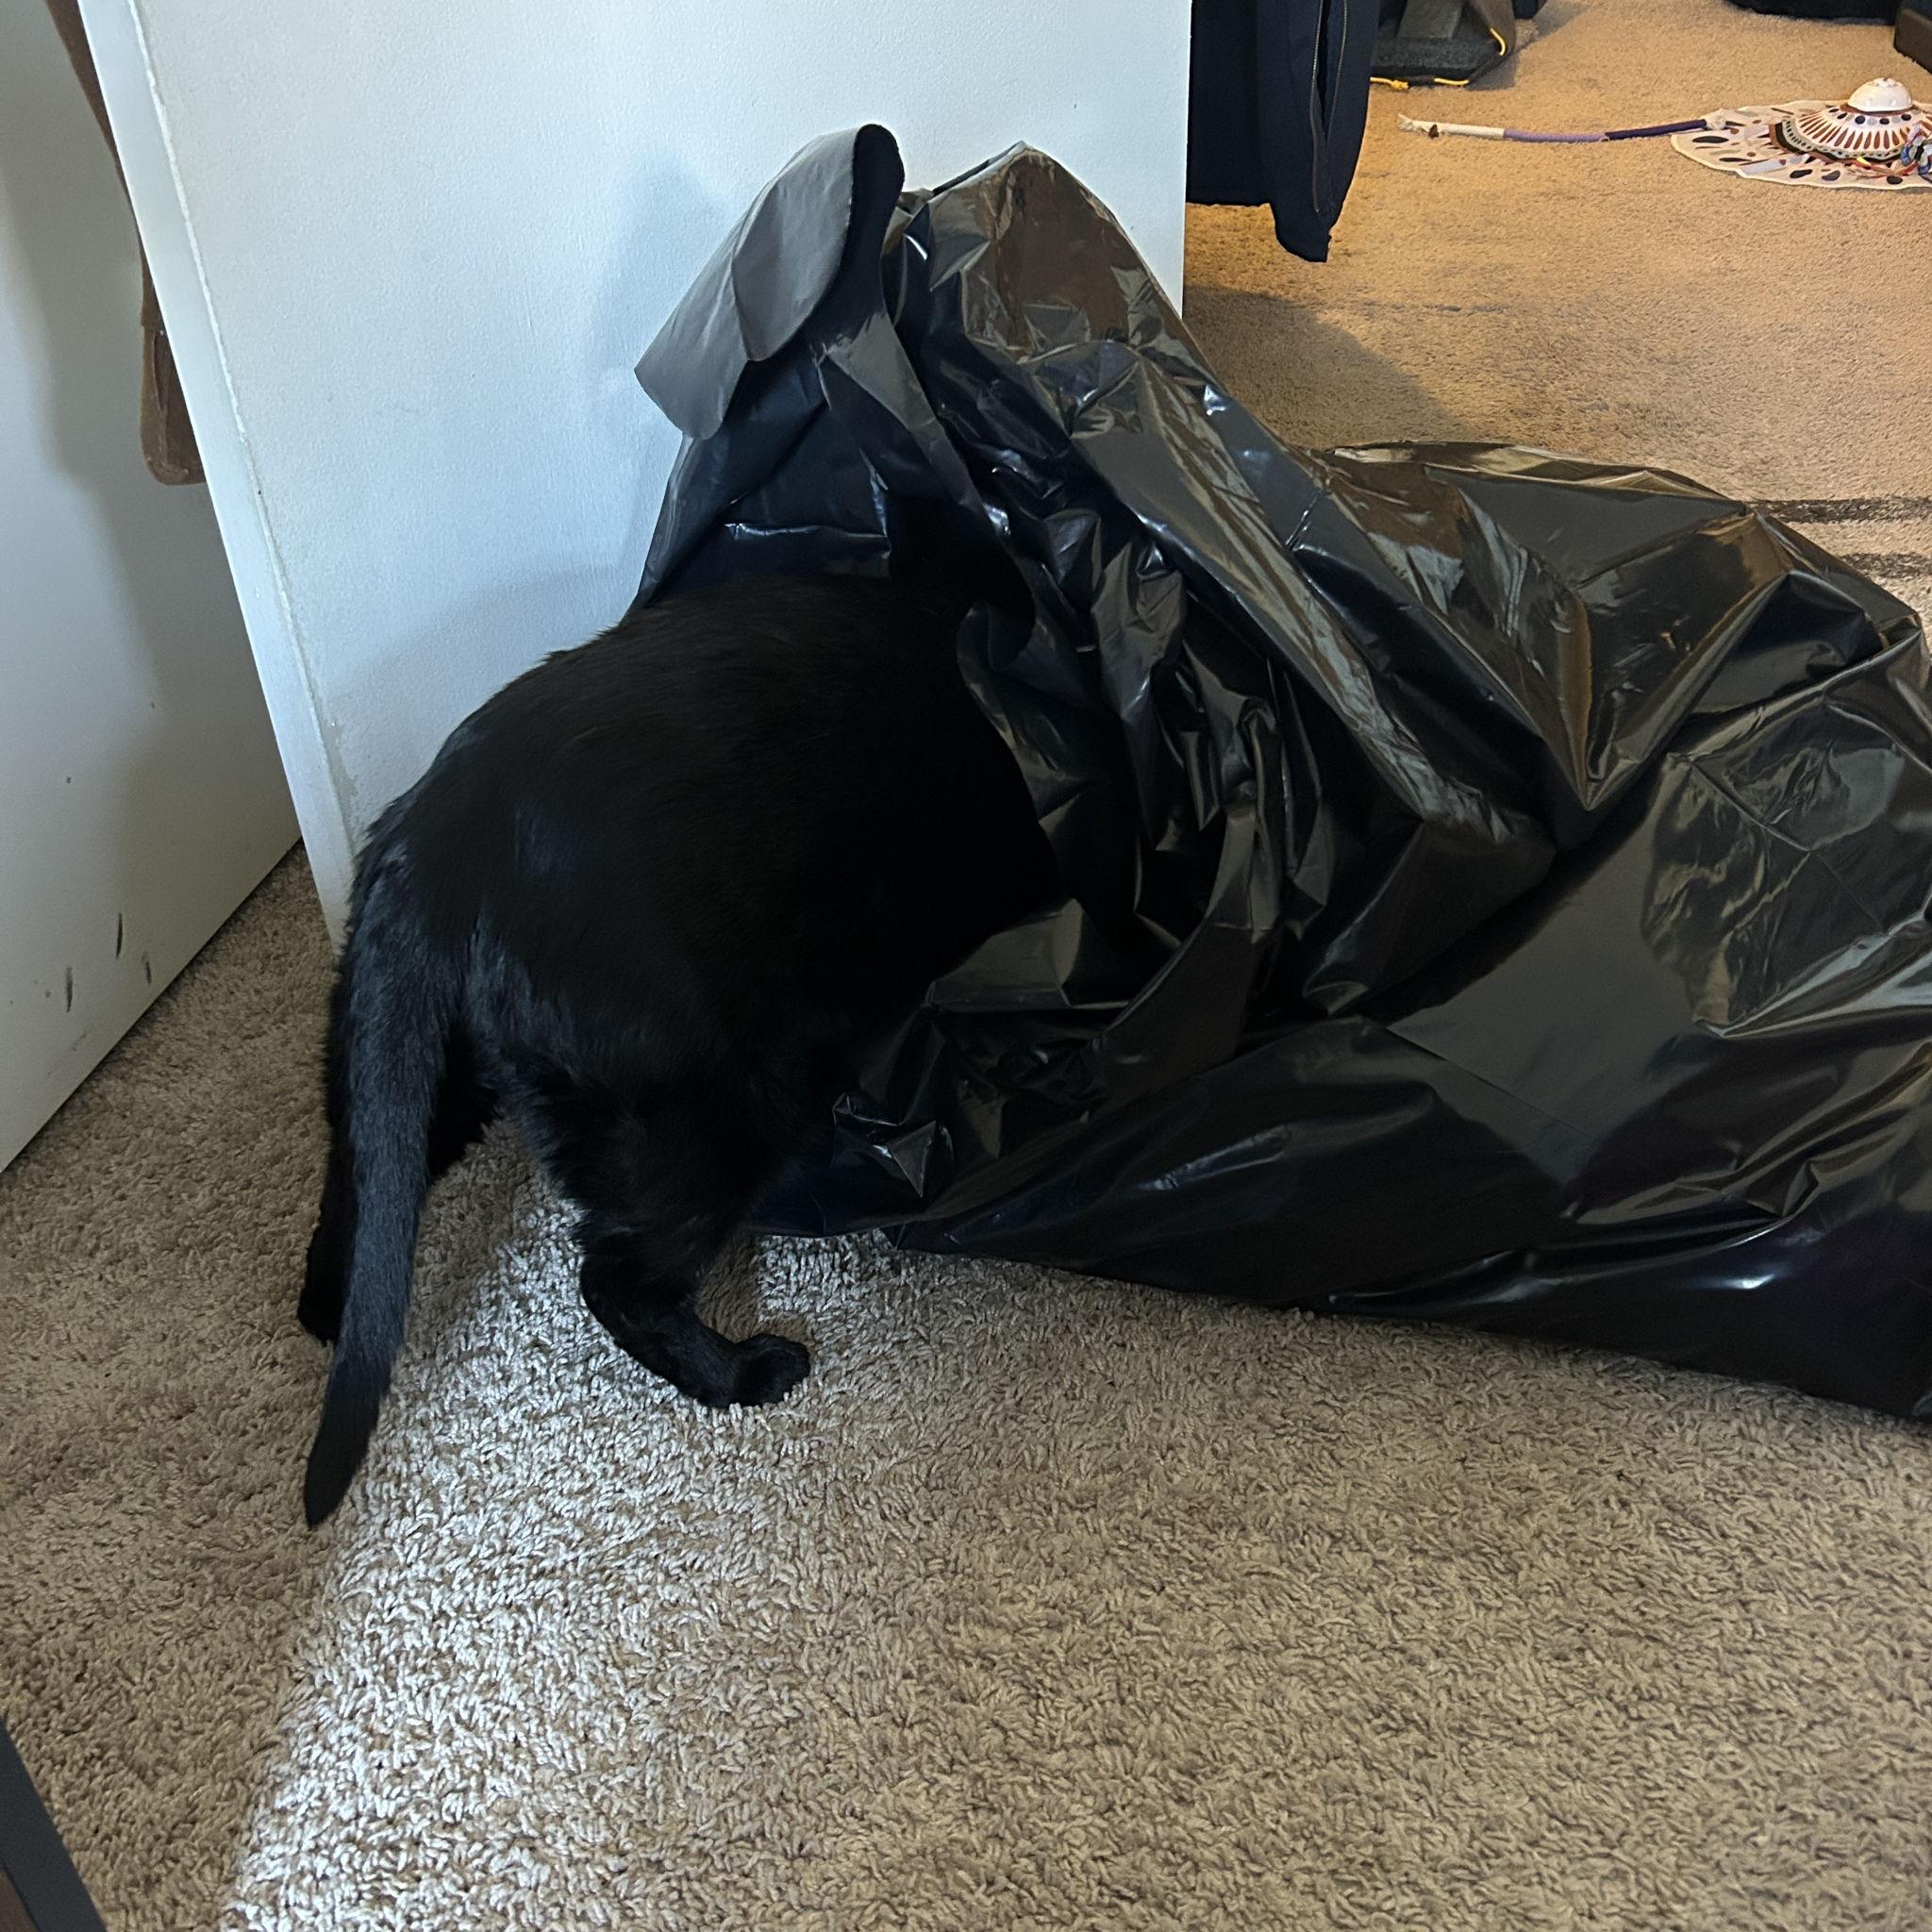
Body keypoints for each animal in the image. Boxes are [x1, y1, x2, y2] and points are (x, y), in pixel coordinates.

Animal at [298, 574, 1058, 1525]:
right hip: (717, 1114)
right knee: (615, 1280)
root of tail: (441, 826)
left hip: (425, 1061)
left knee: (361, 1169)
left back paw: (327, 1309)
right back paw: (743, 1374)